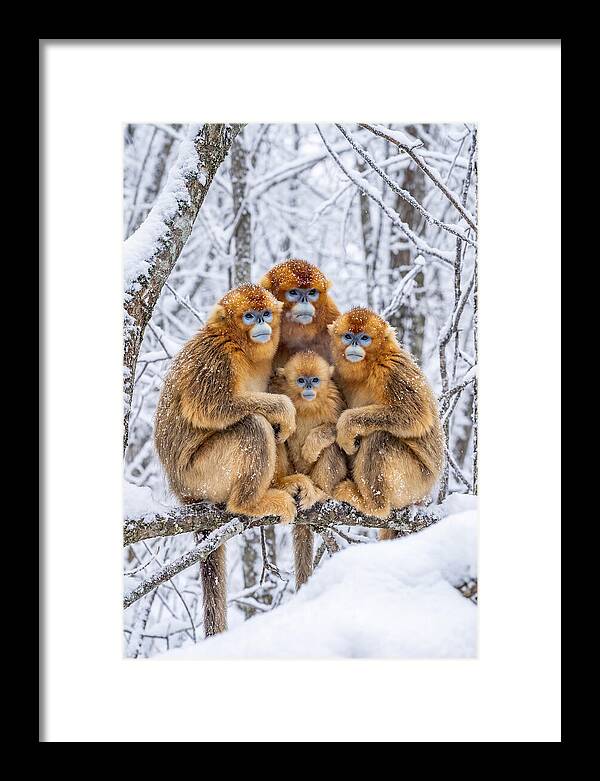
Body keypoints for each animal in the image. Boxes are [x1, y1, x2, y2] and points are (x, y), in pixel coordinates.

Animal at [154, 284, 298, 637]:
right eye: (249, 315)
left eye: (265, 313)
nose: (262, 323)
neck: (242, 348)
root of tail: (182, 491)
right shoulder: (217, 357)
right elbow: (211, 408)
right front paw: (283, 407)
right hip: (201, 475)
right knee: (253, 425)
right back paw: (249, 503)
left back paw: (280, 484)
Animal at [269, 351, 348, 588]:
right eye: (301, 380)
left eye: (314, 380)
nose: (309, 388)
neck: (306, 404)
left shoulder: (334, 399)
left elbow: (339, 429)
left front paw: (312, 446)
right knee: (275, 435)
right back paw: (283, 484)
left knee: (332, 447)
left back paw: (320, 492)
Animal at [327, 307, 444, 539]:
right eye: (348, 336)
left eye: (364, 338)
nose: (355, 344)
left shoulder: (392, 369)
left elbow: (415, 415)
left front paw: (346, 426)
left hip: (415, 482)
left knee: (380, 438)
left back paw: (372, 505)